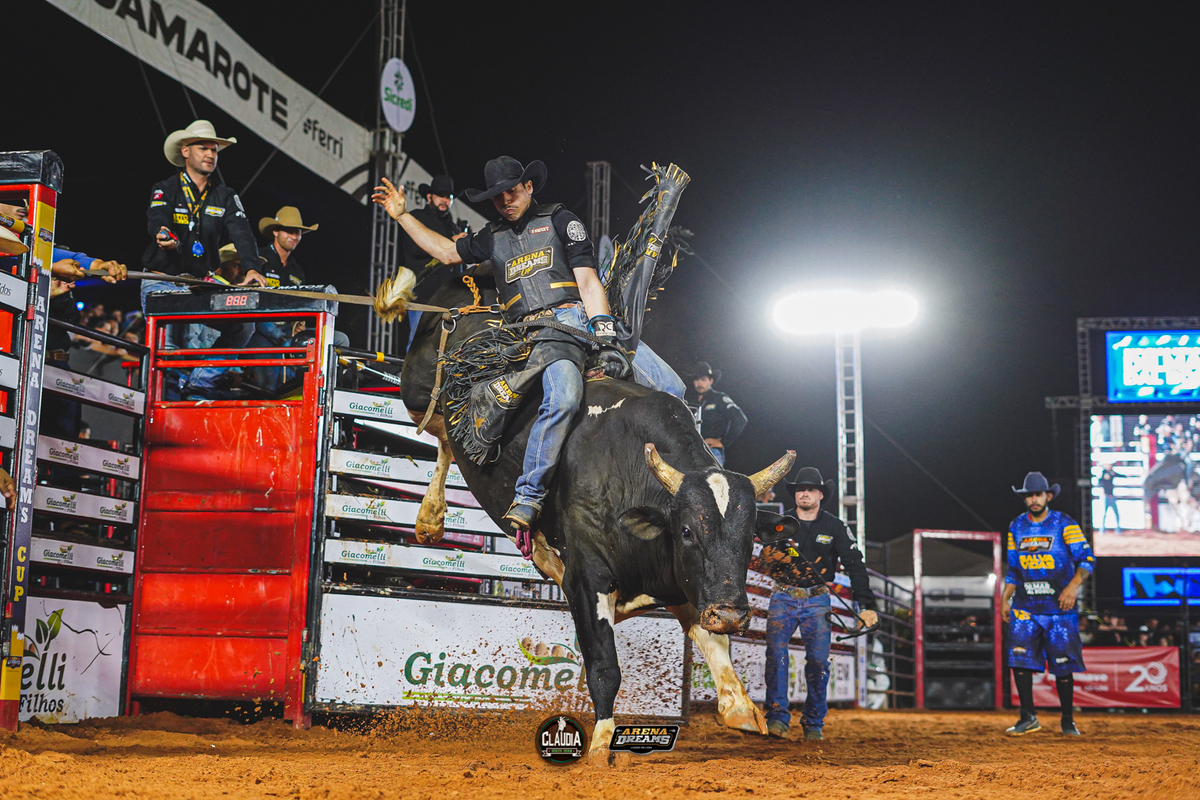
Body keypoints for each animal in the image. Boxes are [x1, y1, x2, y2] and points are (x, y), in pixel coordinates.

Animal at [396, 275, 798, 760]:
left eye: (749, 536)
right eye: (685, 530)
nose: (733, 614)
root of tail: (474, 302)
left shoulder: (679, 583)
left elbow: (709, 639)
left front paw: (741, 708)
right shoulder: (588, 578)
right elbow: (604, 665)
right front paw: (601, 746)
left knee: (446, 442)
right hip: (417, 391)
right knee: (440, 434)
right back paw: (431, 517)